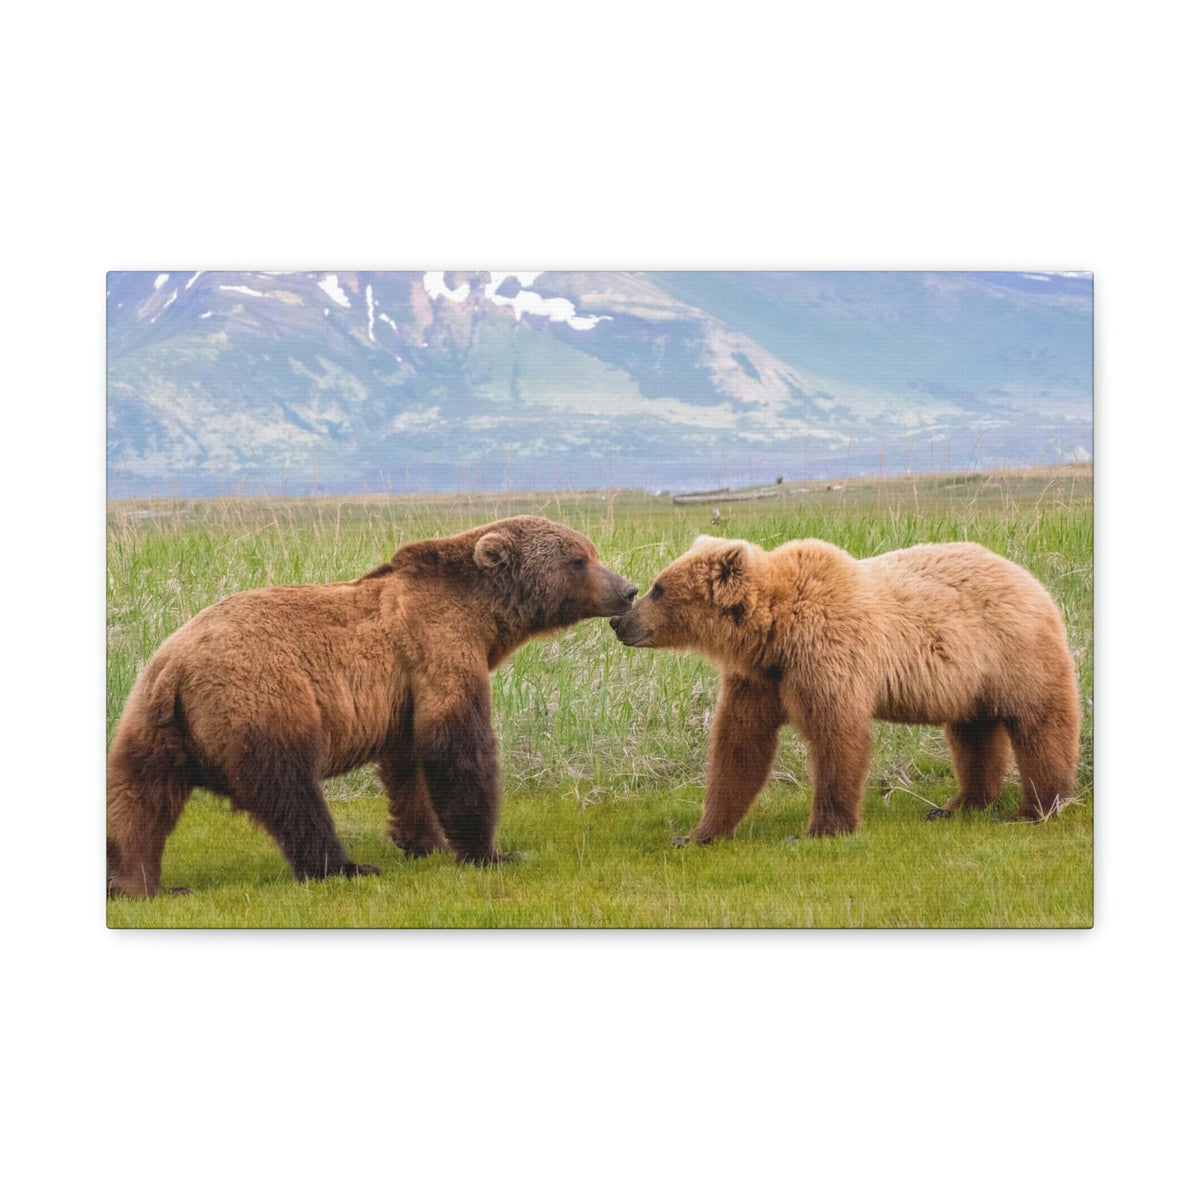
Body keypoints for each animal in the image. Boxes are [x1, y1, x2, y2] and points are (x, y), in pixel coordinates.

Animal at [107, 516, 637, 897]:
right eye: (578, 559)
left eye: (591, 551)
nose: (628, 589)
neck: (484, 618)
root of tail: (175, 668)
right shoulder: (438, 647)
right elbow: (455, 748)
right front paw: (489, 852)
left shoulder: (403, 695)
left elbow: (410, 765)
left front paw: (423, 840)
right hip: (261, 699)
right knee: (290, 790)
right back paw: (344, 866)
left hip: (151, 725)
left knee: (137, 801)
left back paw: (140, 883)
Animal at [610, 535, 1080, 843]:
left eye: (659, 588)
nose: (619, 621)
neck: (774, 632)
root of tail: (1032, 579)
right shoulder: (761, 678)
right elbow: (740, 744)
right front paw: (699, 832)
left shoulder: (825, 655)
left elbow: (836, 735)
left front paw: (820, 829)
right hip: (969, 679)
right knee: (973, 733)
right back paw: (957, 805)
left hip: (1014, 652)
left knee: (1040, 724)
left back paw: (1037, 807)